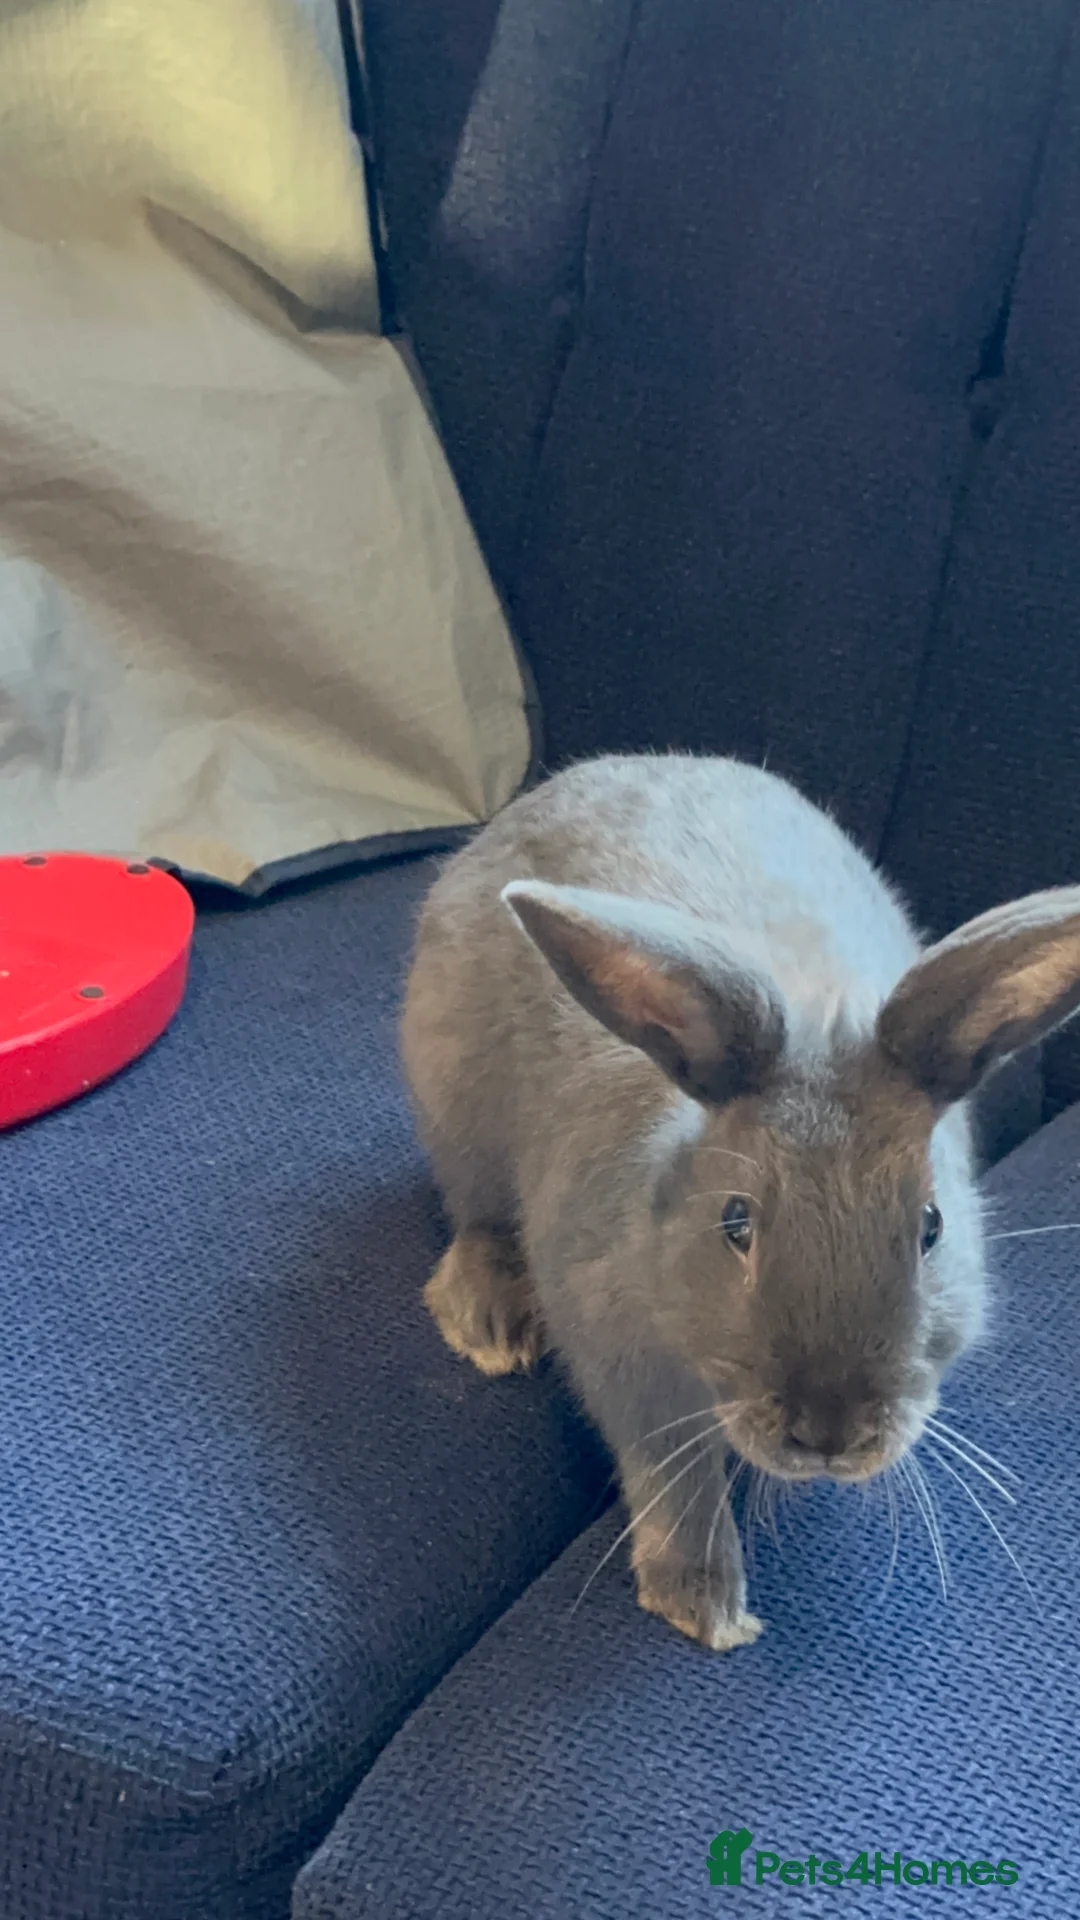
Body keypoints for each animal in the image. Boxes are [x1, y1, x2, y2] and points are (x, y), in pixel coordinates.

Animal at [401, 753, 1080, 1651]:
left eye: (931, 1228)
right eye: (736, 1221)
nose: (828, 1433)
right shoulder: (622, 1358)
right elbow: (670, 1471)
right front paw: (702, 1605)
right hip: (452, 1103)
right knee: (473, 1214)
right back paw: (486, 1323)